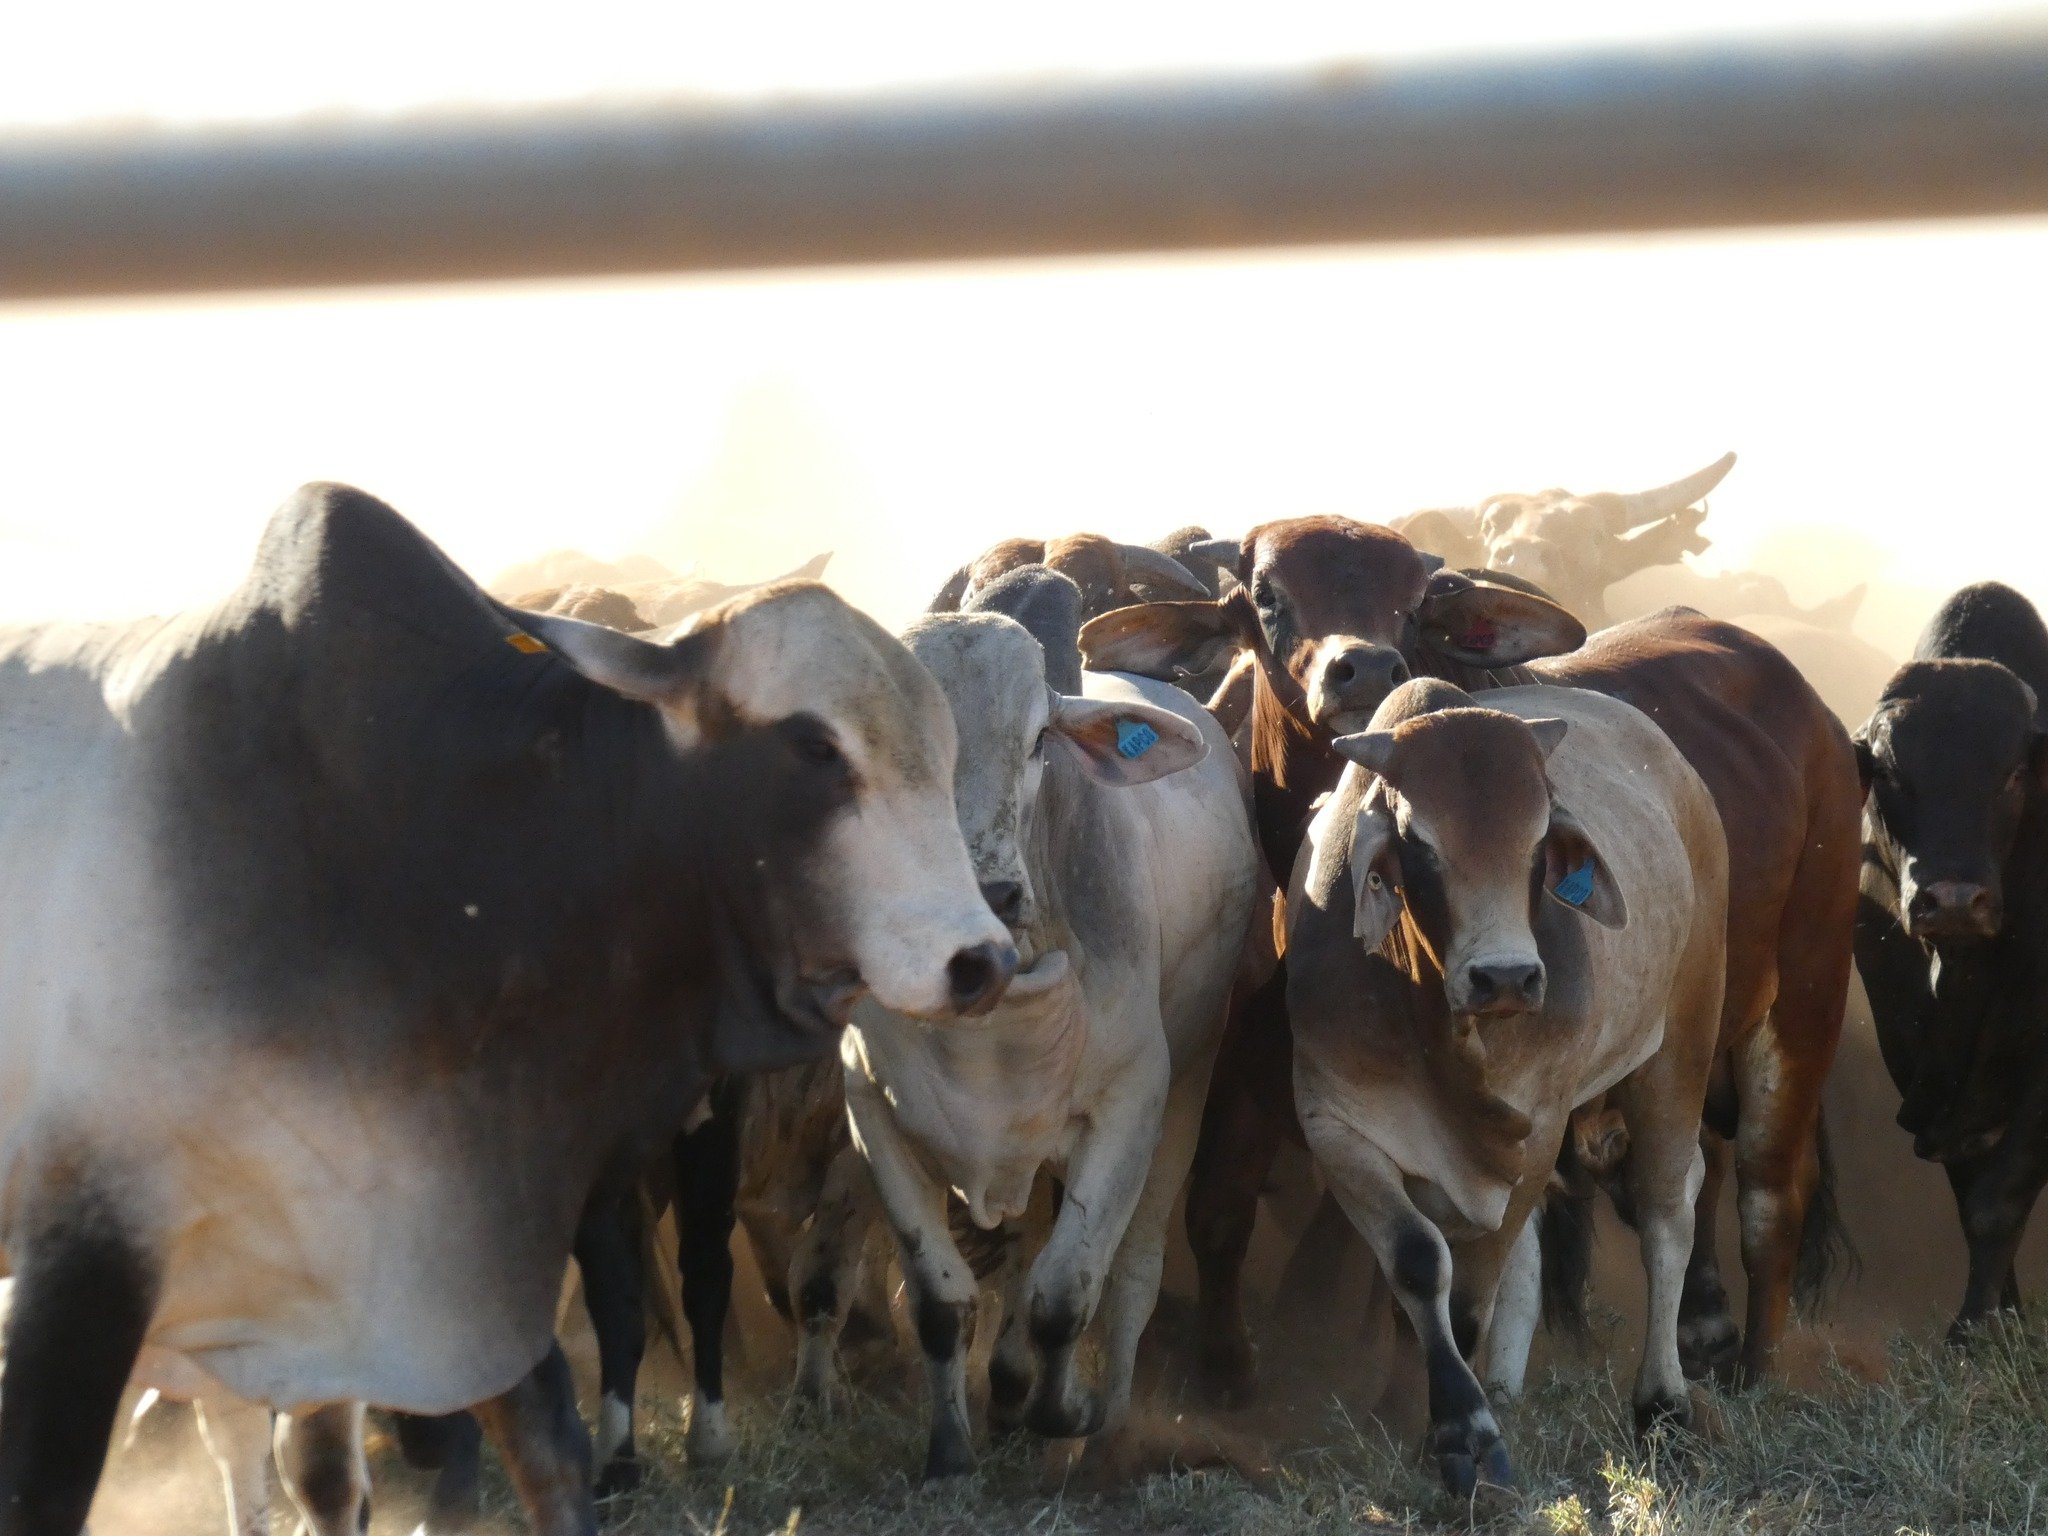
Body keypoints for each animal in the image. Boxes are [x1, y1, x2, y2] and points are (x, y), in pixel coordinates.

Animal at [842, 566, 1260, 1476]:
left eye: (1039, 740)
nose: (989, 894)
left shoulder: (1131, 1105)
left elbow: (1068, 1291)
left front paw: (1063, 1414)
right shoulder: (873, 1115)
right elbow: (942, 1303)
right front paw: (951, 1448)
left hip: (1191, 1082)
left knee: (1131, 1269)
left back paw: (1105, 1428)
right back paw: (1005, 1392)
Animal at [1080, 515, 1860, 1403]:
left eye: (1415, 604)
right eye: (1268, 596)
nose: (1367, 667)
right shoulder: (1257, 1060)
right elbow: (1220, 1209)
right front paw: (1225, 1376)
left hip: (1801, 995)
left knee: (1767, 1195)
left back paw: (1754, 1371)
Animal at [1287, 678, 1726, 1491]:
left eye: (1538, 840)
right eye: (1420, 843)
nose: (1508, 977)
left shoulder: (1538, 1131)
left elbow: (1467, 1298)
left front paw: (1464, 1435)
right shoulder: (1335, 1123)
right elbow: (1418, 1262)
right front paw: (1435, 1415)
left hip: (1683, 1040)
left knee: (1666, 1216)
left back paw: (1662, 1405)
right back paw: (1505, 1390)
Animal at [1853, 581, 2048, 1339]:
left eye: (2014, 772)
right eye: (1888, 771)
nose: (1956, 899)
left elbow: (1999, 1197)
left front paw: (1974, 1329)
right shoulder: (1911, 1050)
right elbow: (1972, 1195)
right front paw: (1998, 1319)